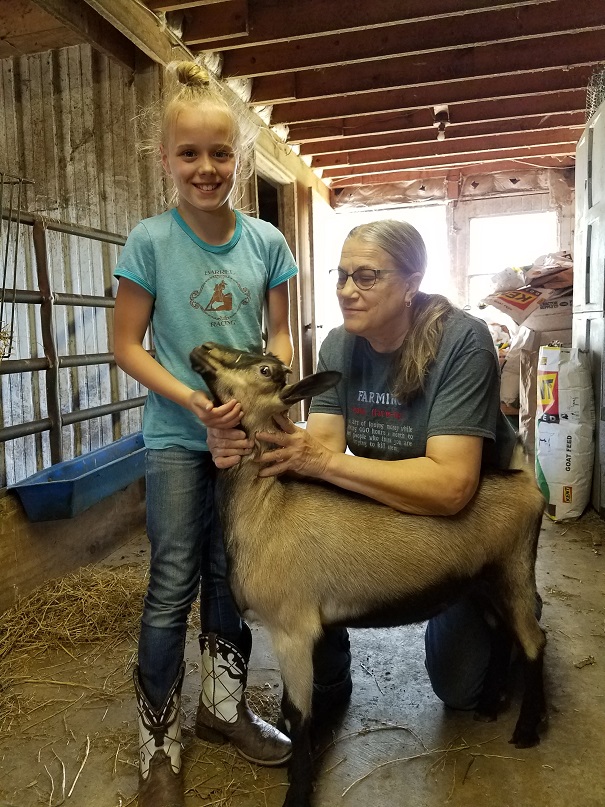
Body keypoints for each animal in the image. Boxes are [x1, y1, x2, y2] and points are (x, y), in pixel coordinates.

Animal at [191, 340, 544, 807]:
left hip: (515, 569)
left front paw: (297, 794)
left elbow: (297, 714)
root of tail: (524, 481)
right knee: (502, 631)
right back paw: (488, 707)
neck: (266, 510)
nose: (203, 348)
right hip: (484, 581)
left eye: (266, 369)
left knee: (534, 639)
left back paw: (526, 732)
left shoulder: (291, 628)